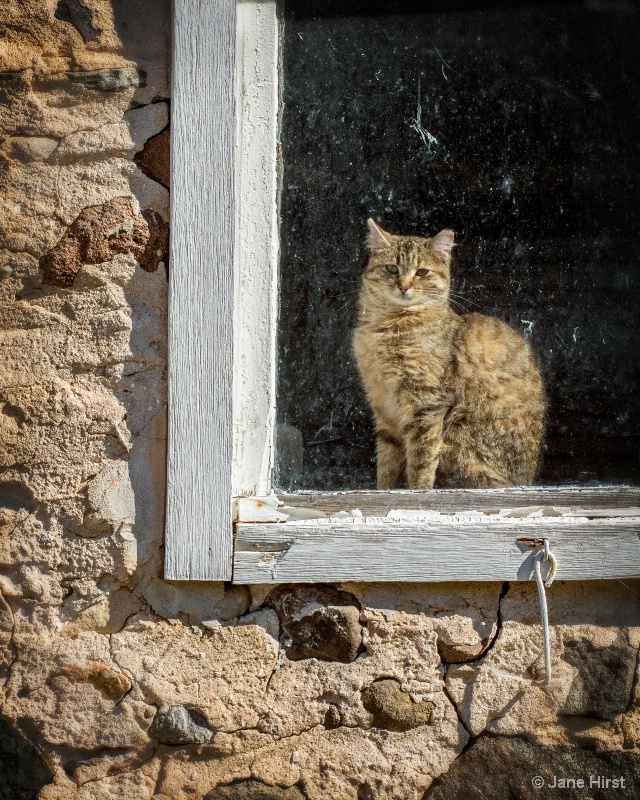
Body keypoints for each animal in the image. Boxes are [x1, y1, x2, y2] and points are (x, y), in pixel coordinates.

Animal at [350, 222, 544, 490]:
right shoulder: (383, 406)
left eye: (422, 272)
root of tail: (525, 480)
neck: (390, 327)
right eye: (391, 268)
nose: (404, 286)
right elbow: (387, 465)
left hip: (456, 440)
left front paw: (418, 491)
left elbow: (421, 457)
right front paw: (383, 491)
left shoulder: (426, 402)